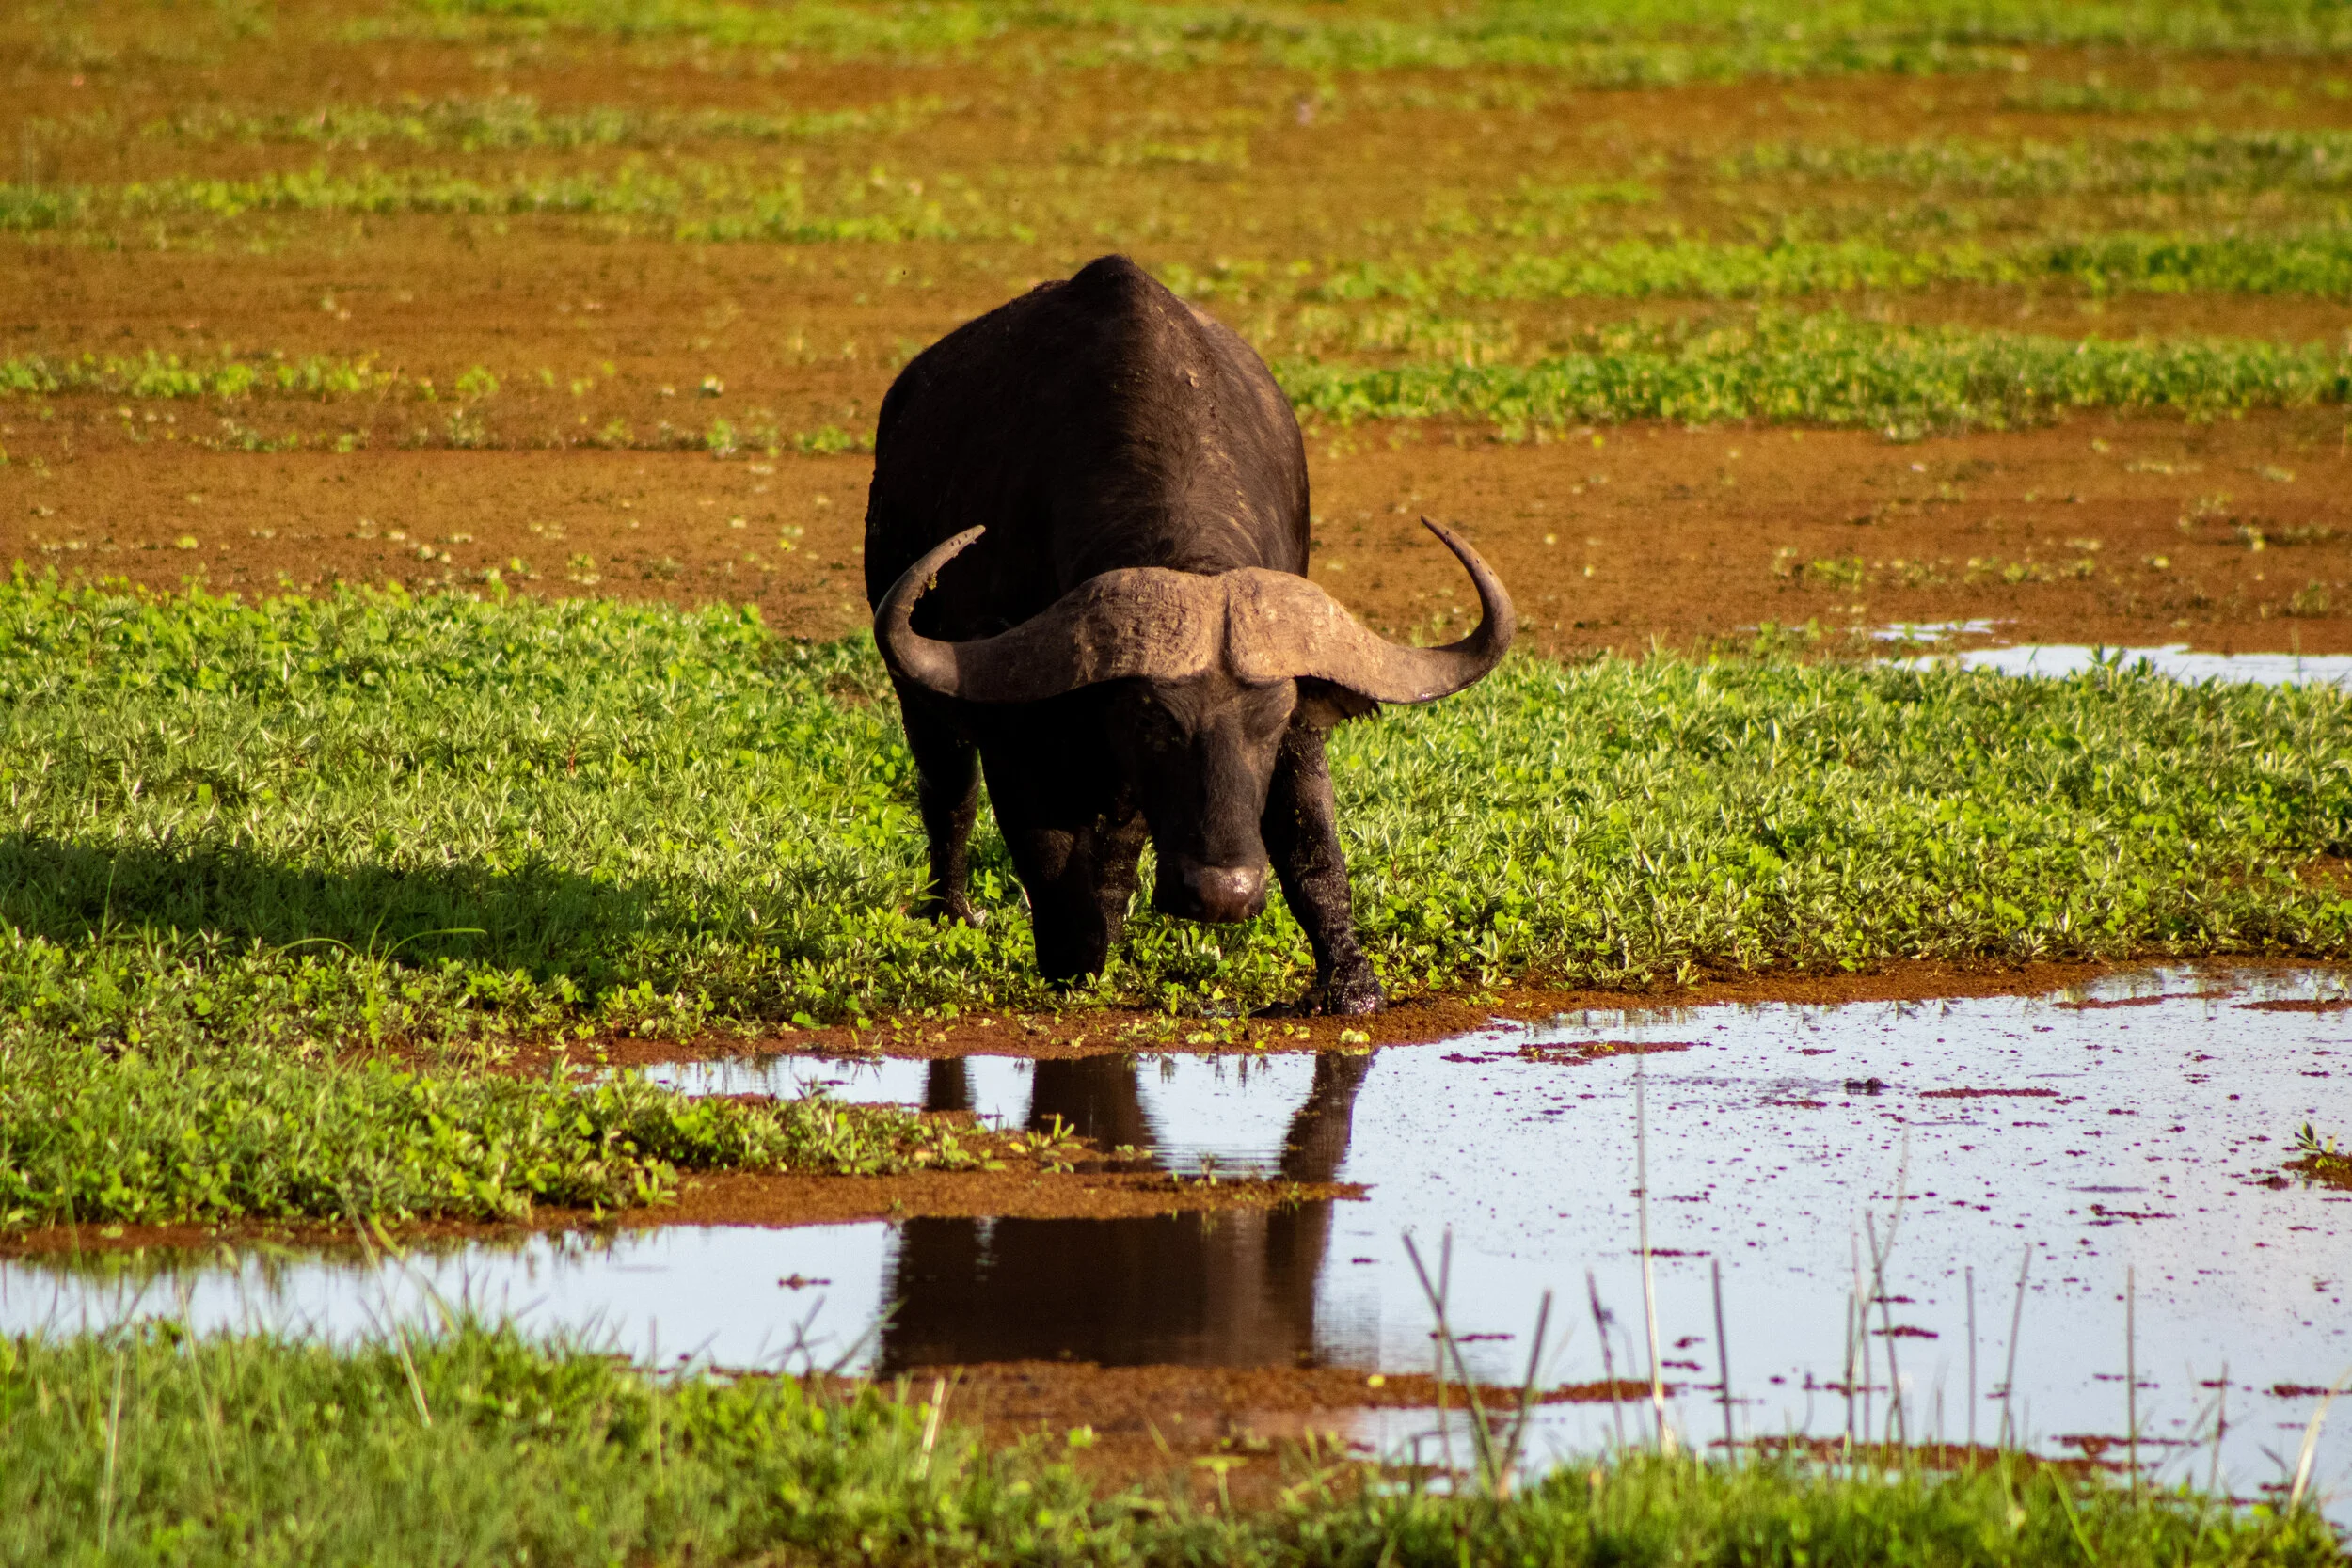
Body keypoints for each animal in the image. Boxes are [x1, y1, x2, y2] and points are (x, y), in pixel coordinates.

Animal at [864, 254, 1513, 1014]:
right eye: (1151, 721)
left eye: (1270, 722)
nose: (1221, 894)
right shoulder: (1016, 726)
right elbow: (1044, 851)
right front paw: (1074, 962)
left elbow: (1312, 842)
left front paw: (1350, 981)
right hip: (918, 695)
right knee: (949, 790)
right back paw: (953, 911)